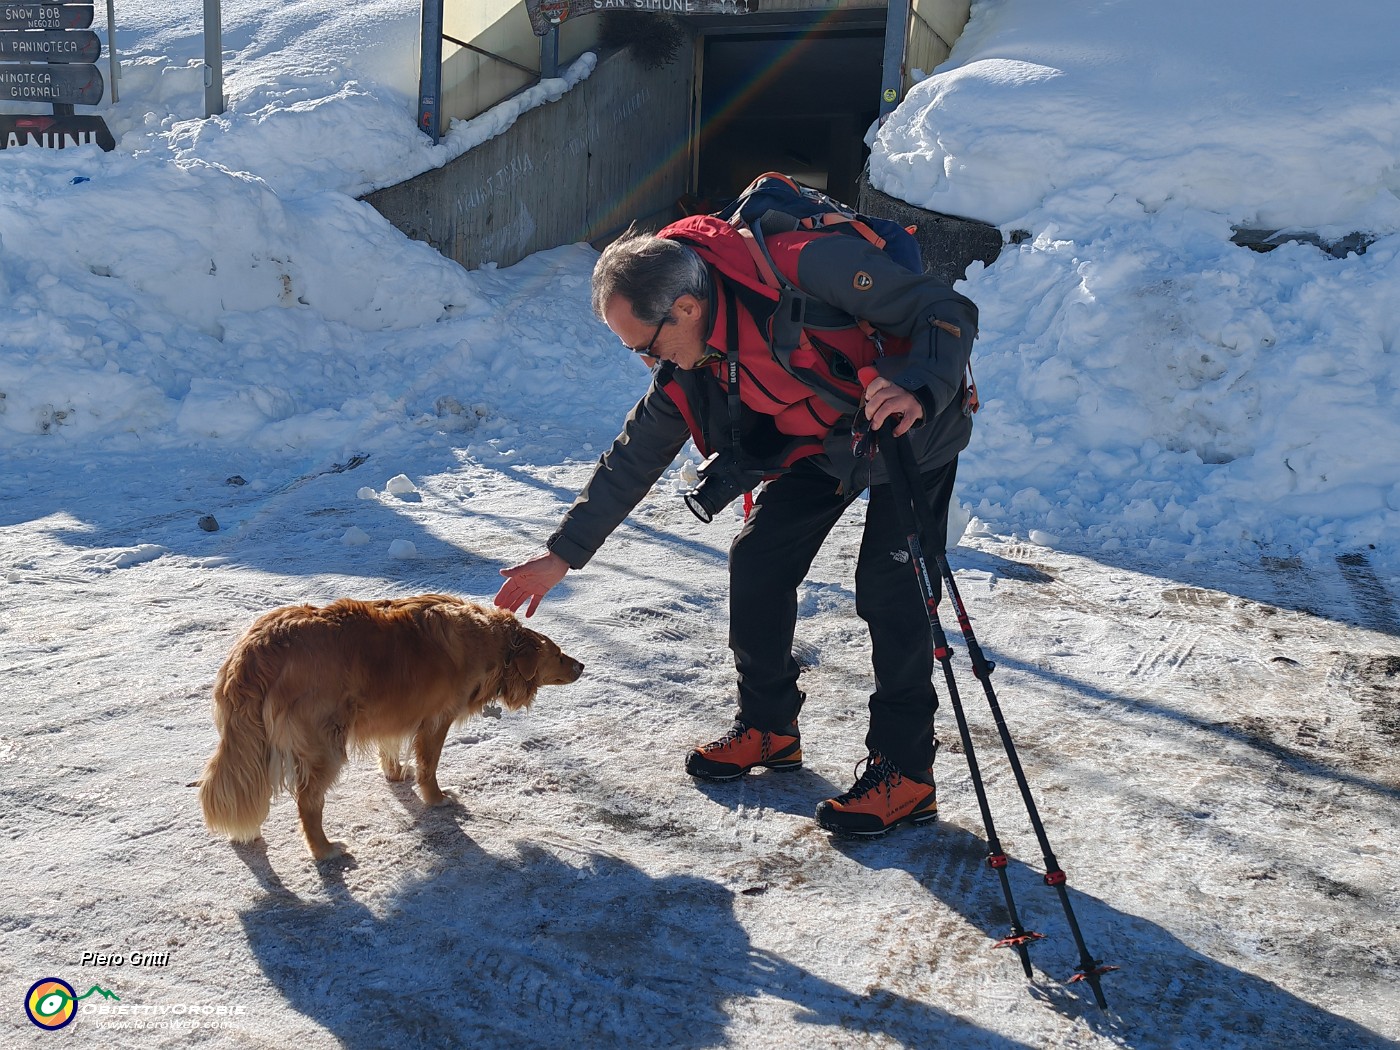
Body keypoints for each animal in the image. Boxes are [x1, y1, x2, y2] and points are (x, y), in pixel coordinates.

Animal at [200, 596, 582, 856]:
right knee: (308, 802)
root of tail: (257, 648)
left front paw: (395, 773)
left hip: (256, 739)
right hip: (325, 745)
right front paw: (437, 799)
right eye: (558, 654)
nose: (581, 666)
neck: (494, 642)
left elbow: (391, 747)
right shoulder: (436, 720)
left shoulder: (395, 712)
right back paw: (324, 849)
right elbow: (429, 766)